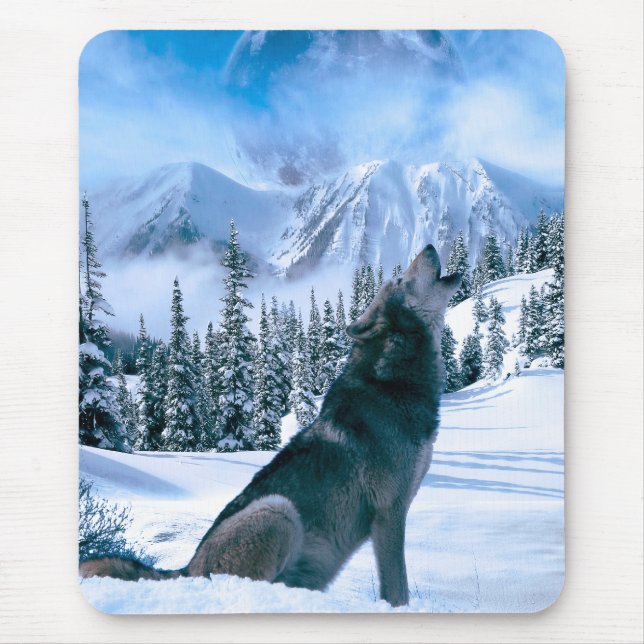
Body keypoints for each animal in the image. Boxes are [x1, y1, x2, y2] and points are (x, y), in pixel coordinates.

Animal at [80, 244, 460, 607]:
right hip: (279, 511)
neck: (392, 382)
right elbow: (398, 591)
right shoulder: (389, 513)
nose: (429, 245)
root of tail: (186, 569)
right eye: (400, 278)